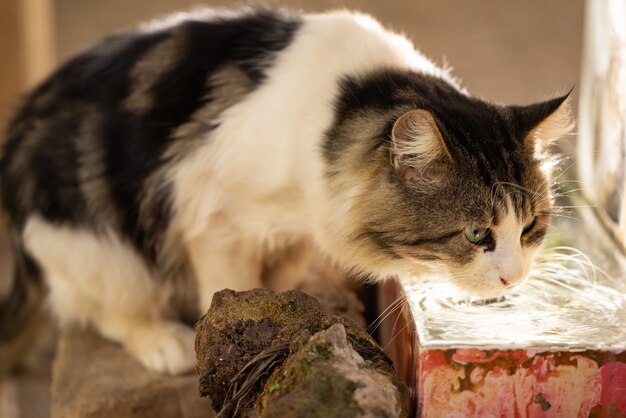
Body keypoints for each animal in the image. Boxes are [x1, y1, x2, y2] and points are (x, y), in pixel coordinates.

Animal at [0, 6, 572, 374]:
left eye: (531, 229)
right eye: (476, 234)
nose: (514, 278)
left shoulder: (296, 228)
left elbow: (276, 277)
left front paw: (280, 307)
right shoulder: (212, 216)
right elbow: (227, 289)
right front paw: (230, 332)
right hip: (91, 240)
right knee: (103, 307)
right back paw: (167, 343)